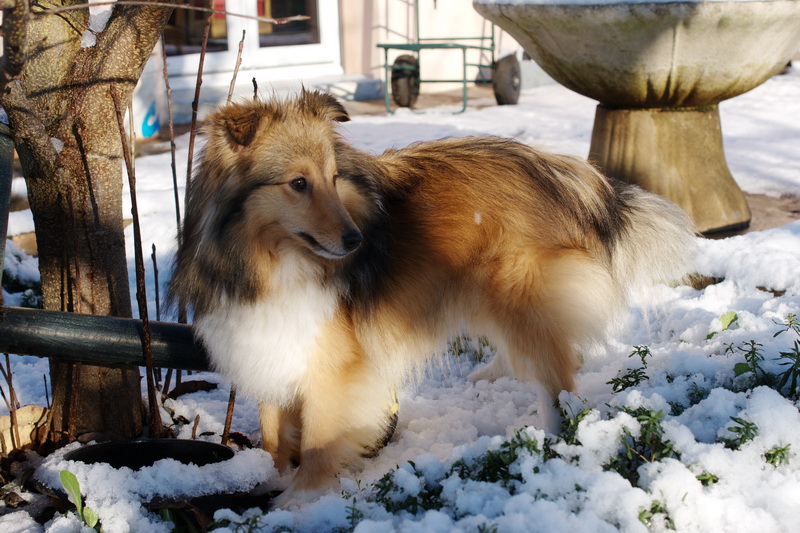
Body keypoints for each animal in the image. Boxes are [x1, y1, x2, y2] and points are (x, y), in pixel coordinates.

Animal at [167, 89, 692, 504]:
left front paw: (300, 500)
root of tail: (566, 172)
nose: (356, 240)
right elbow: (274, 433)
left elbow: (318, 437)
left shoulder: (333, 367)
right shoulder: (267, 346)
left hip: (516, 292)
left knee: (556, 375)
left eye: (334, 177)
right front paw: (272, 480)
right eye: (298, 183)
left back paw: (549, 439)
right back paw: (491, 375)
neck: (268, 262)